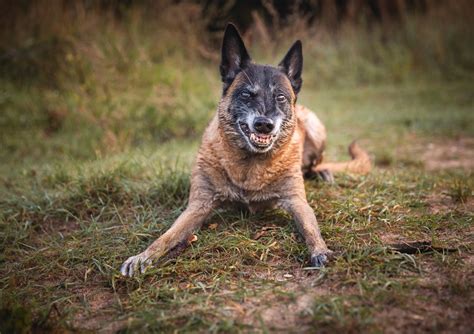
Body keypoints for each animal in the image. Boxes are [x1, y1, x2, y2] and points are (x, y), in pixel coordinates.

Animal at [120, 22, 372, 276]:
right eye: (246, 94)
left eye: (280, 97)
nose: (264, 124)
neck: (251, 163)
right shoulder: (198, 206)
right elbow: (166, 236)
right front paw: (143, 257)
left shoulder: (297, 201)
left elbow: (311, 230)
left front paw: (321, 251)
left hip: (315, 127)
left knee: (315, 164)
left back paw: (324, 173)